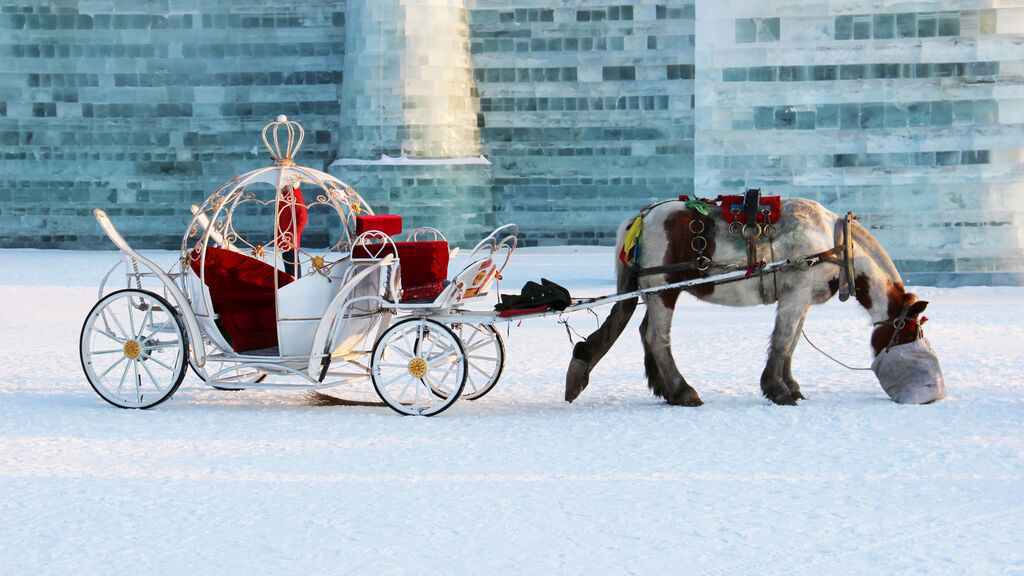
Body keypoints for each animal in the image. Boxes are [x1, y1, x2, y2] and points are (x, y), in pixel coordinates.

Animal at [565, 195, 937, 403]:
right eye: (909, 331)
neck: (834, 247)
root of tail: (641, 217)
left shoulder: (801, 300)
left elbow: (790, 344)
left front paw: (790, 386)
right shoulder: (796, 294)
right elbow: (783, 341)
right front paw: (778, 390)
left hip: (657, 292)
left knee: (646, 334)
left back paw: (664, 388)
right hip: (664, 289)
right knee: (657, 337)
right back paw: (683, 392)